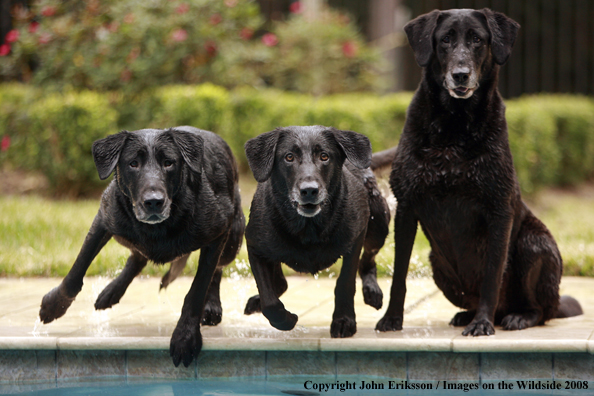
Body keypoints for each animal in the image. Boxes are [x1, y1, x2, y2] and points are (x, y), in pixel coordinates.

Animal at [38, 126, 243, 366]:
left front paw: (185, 336)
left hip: (233, 238)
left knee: (217, 268)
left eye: (169, 163)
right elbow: (76, 271)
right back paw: (112, 291)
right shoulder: (105, 218)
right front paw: (54, 305)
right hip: (123, 233)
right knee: (137, 257)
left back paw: (211, 306)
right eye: (133, 163)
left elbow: (198, 288)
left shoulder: (219, 230)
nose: (153, 201)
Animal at [240, 126, 388, 338]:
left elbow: (345, 283)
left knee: (368, 260)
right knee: (280, 283)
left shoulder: (355, 238)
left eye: (324, 156)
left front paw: (344, 320)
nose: (309, 190)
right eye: (289, 157)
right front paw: (286, 319)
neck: (308, 228)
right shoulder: (255, 247)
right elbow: (269, 299)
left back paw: (372, 291)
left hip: (378, 224)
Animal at [374, 9, 580, 336]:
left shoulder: (499, 210)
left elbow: (491, 276)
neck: (454, 125)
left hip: (535, 245)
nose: (461, 74)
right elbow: (399, 276)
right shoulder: (406, 208)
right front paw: (392, 319)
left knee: (540, 310)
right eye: (445, 39)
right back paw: (466, 315)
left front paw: (482, 323)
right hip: (437, 266)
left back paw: (516, 317)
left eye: (477, 40)